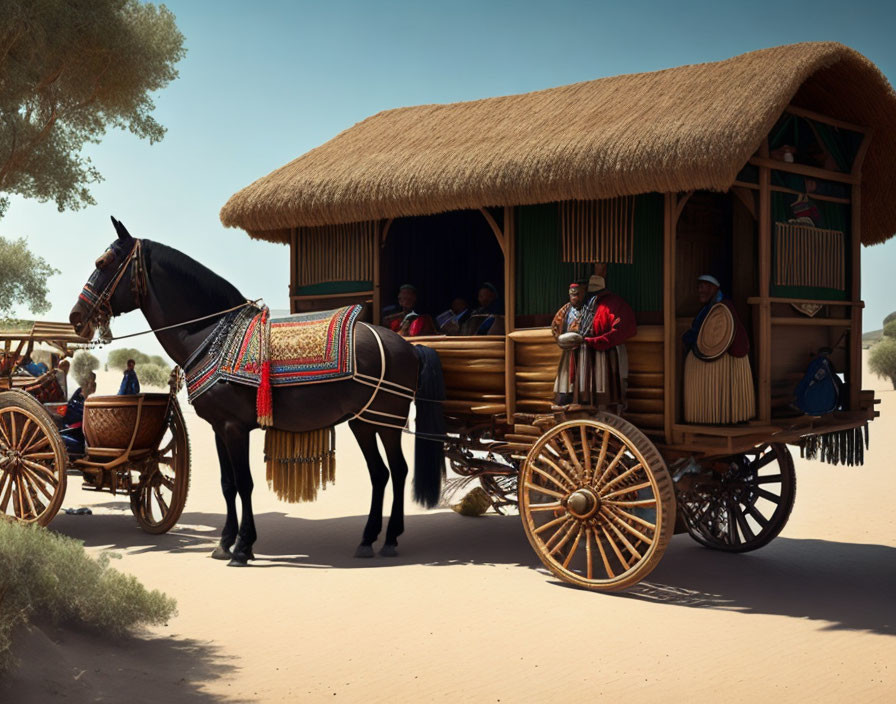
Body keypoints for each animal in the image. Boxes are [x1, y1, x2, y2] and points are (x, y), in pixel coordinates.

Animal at [71, 217, 444, 564]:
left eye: (103, 263)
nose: (77, 316)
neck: (210, 335)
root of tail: (410, 347)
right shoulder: (219, 428)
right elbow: (228, 484)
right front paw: (225, 542)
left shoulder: (235, 428)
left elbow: (245, 483)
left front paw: (242, 547)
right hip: (363, 422)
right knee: (381, 474)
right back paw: (369, 540)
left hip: (387, 421)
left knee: (398, 471)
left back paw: (390, 539)